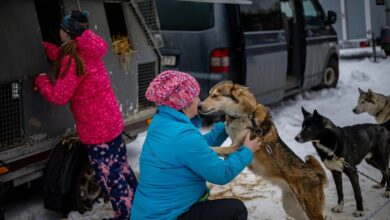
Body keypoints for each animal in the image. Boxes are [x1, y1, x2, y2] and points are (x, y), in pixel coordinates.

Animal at [198, 81, 330, 220]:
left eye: (215, 96)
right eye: (209, 94)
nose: (198, 106)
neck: (244, 116)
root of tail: (317, 176)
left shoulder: (237, 147)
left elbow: (217, 149)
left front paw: (205, 148)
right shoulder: (232, 147)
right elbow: (221, 150)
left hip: (310, 210)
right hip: (292, 208)